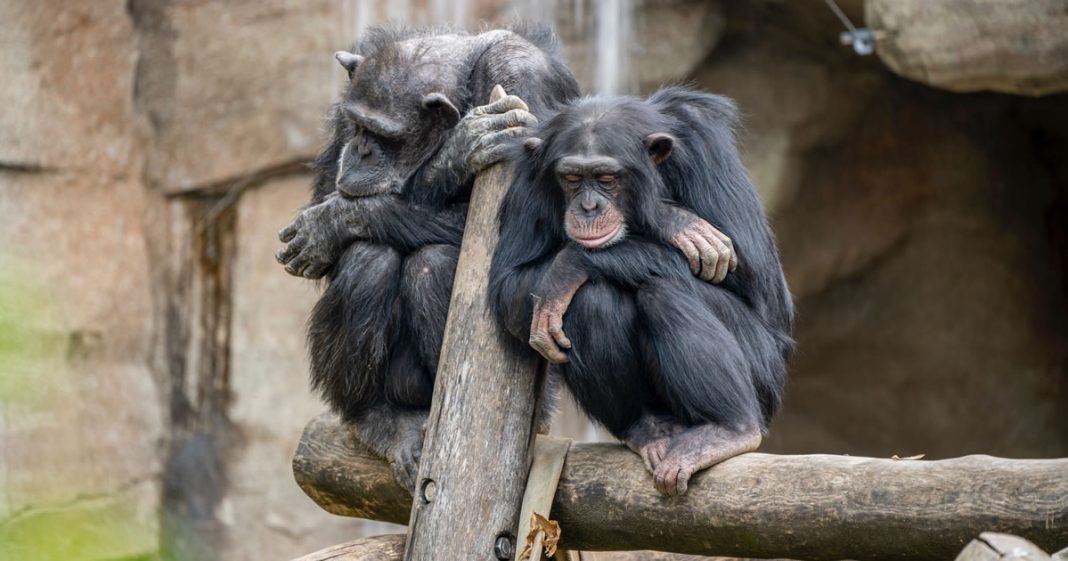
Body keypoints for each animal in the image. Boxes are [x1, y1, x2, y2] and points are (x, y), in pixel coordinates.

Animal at [275, 26, 585, 489]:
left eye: (384, 137)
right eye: (358, 126)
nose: (361, 150)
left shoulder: (527, 83)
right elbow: (326, 199)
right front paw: (460, 149)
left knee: (432, 263)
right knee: (368, 260)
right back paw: (379, 419)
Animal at [489, 86, 794, 493]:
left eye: (606, 177)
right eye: (571, 178)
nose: (588, 206)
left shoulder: (706, 147)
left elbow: (759, 280)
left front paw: (663, 219)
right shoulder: (526, 176)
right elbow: (508, 284)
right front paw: (672, 219)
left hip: (765, 373)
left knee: (661, 292)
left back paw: (727, 430)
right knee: (590, 301)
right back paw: (646, 428)